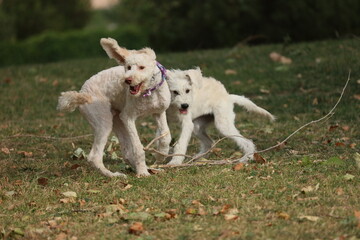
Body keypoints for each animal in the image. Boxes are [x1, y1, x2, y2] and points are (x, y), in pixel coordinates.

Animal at [57, 37, 172, 176]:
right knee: (94, 157)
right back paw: (113, 175)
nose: (127, 80)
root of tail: (82, 94)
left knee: (126, 152)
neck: (149, 91)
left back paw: (146, 168)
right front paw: (143, 173)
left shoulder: (159, 112)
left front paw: (161, 156)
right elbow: (138, 147)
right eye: (128, 67)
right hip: (104, 121)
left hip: (118, 120)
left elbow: (166, 136)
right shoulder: (128, 117)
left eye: (142, 67)